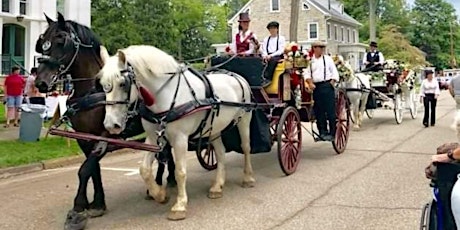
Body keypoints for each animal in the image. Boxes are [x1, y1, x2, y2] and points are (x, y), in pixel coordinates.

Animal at [33, 13, 174, 230]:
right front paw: (97, 203)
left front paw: (77, 210)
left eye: (61, 40)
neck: (91, 92)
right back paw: (160, 183)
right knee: (165, 153)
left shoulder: (106, 134)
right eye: (42, 42)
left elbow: (84, 170)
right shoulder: (84, 138)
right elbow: (93, 170)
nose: (41, 81)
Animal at [98, 44, 255, 219]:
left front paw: (180, 205)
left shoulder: (180, 139)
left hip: (245, 118)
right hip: (214, 127)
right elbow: (144, 169)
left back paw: (248, 178)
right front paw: (159, 194)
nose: (111, 125)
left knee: (246, 147)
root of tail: (238, 77)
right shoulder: (152, 137)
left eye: (122, 83)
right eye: (102, 84)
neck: (167, 96)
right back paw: (217, 186)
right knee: (220, 152)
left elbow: (180, 171)